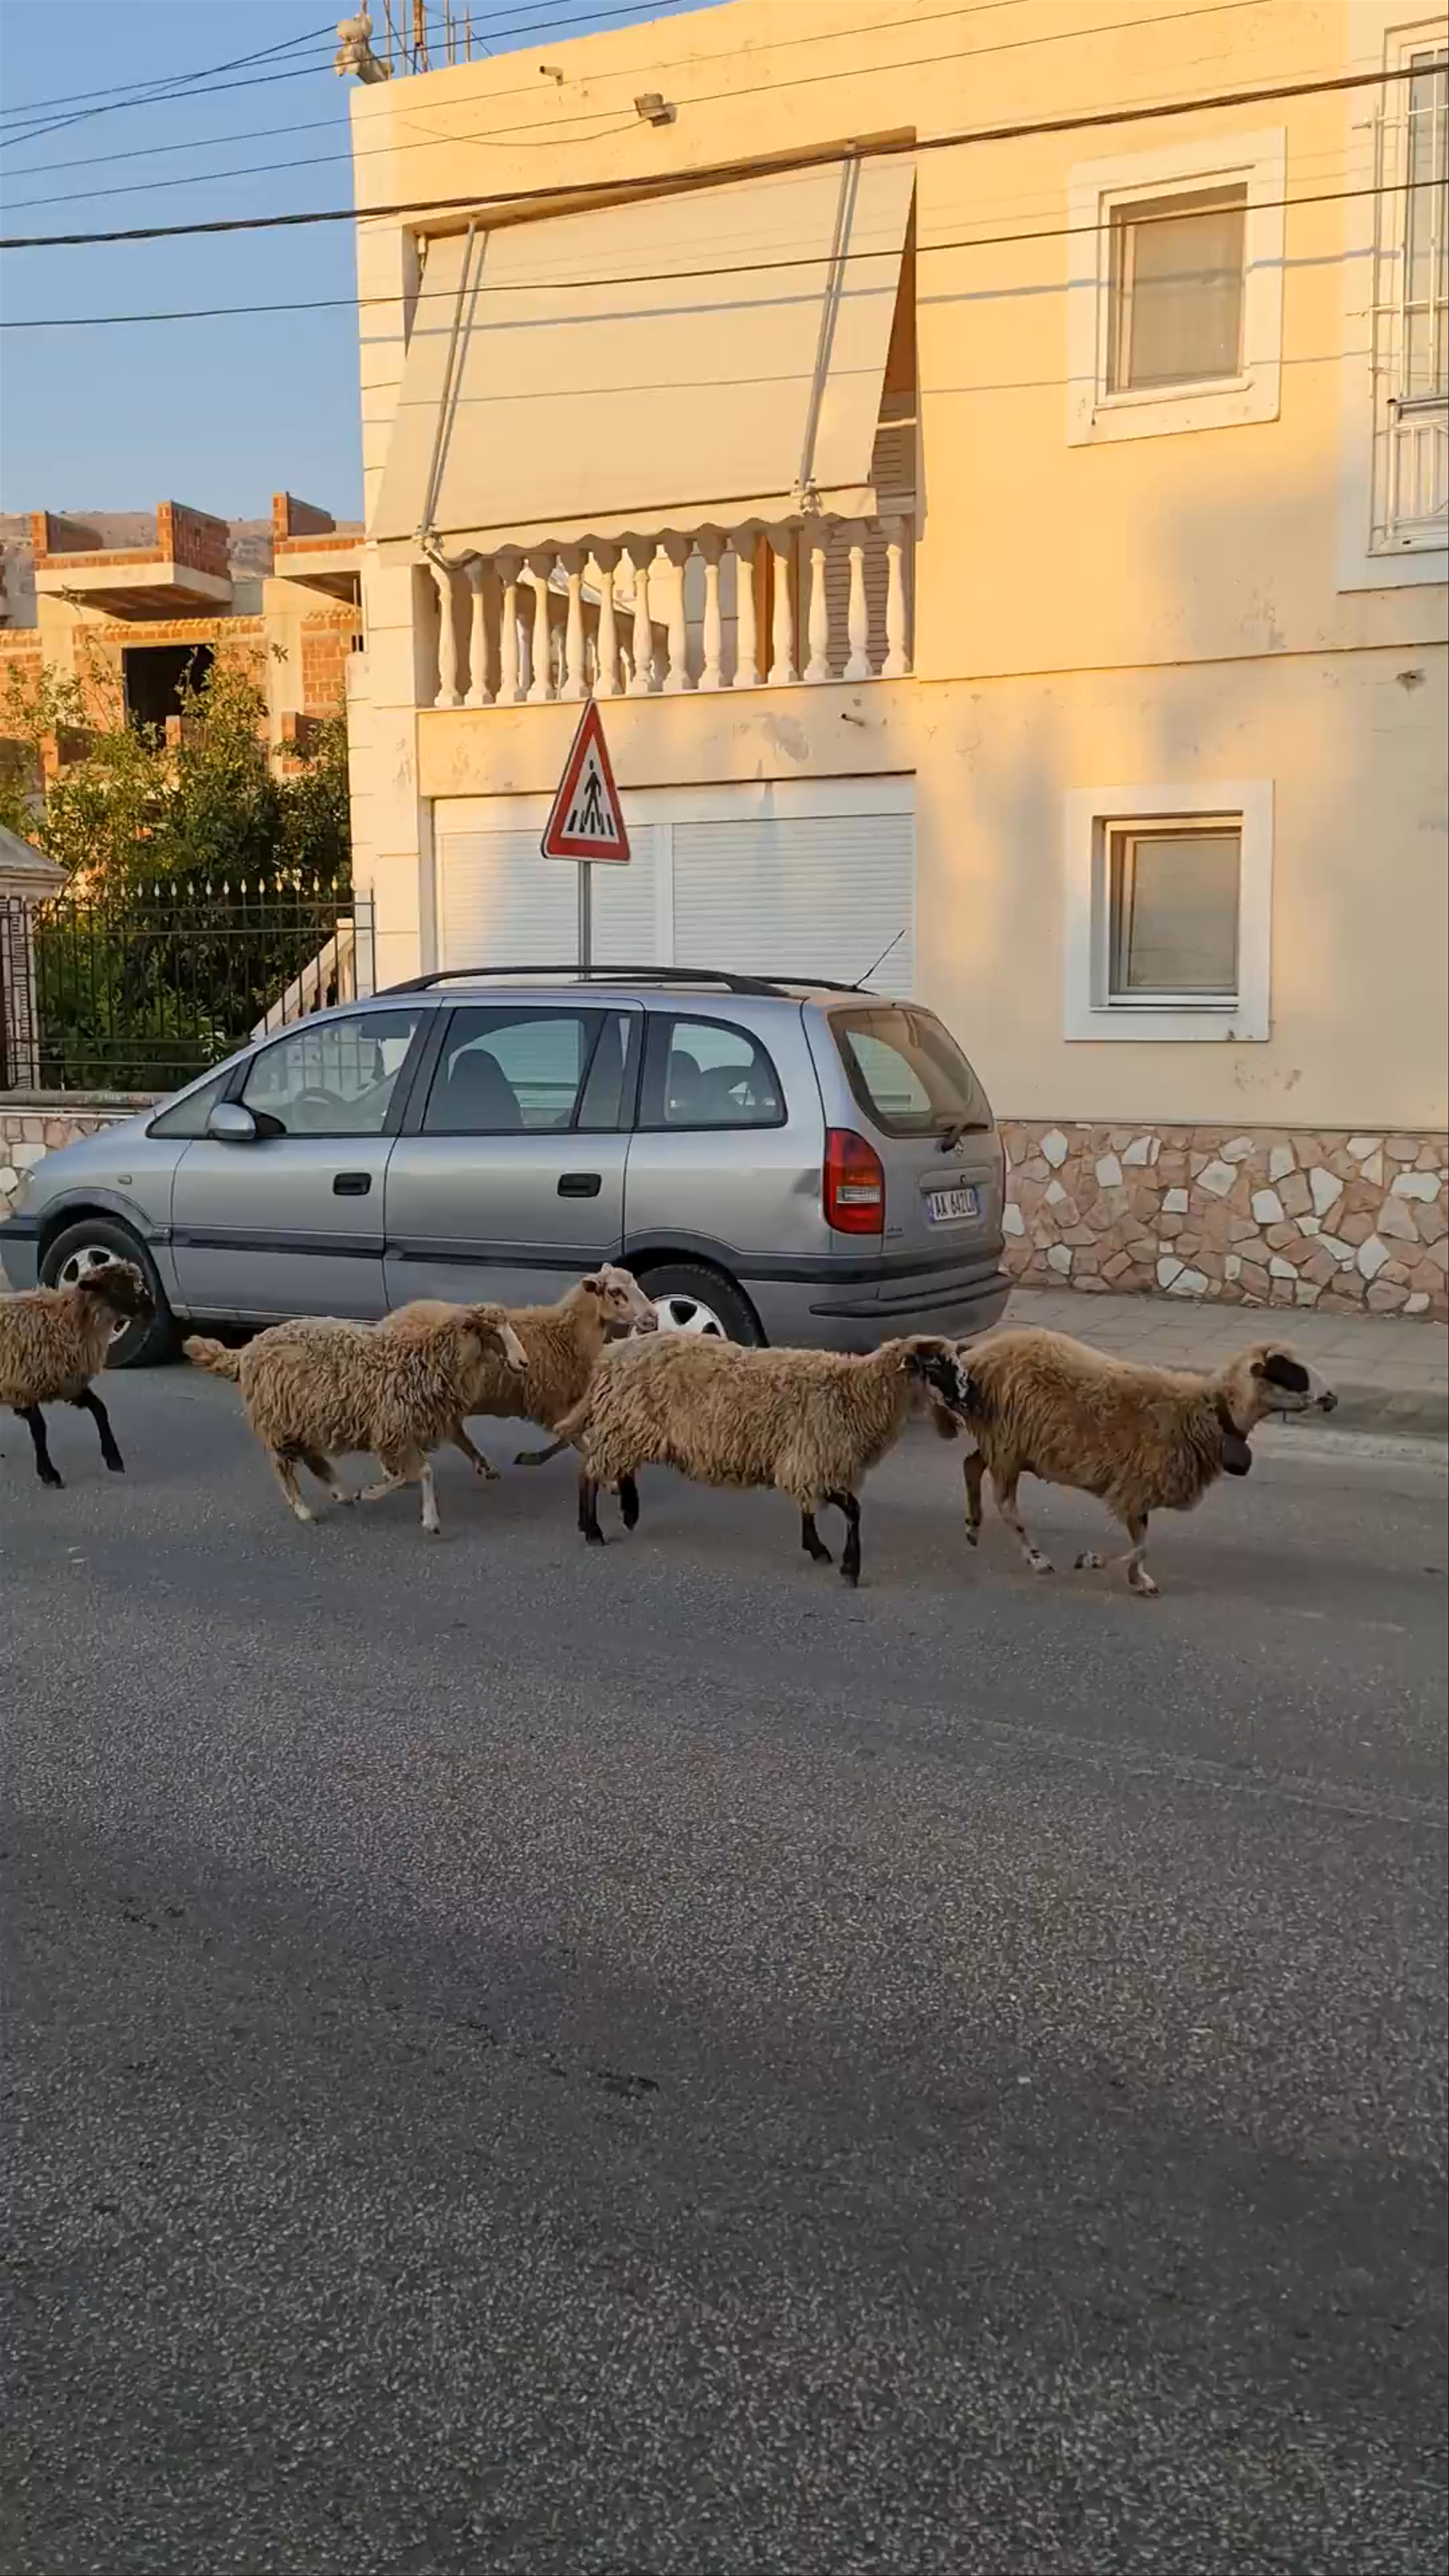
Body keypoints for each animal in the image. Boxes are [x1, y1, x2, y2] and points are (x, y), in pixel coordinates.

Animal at [2, 1259, 154, 1488]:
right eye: (116, 1289)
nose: (152, 1310)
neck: (64, 1322)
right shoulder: (21, 1388)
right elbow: (40, 1430)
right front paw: (49, 1474)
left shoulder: (70, 1385)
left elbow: (100, 1409)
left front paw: (114, 1459)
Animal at [183, 1303, 527, 1535]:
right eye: (491, 1332)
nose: (524, 1362)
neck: (421, 1359)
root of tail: (246, 1349)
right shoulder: (392, 1430)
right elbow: (415, 1473)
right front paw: (417, 1514)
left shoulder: (401, 1431)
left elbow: (419, 1472)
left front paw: (421, 1514)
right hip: (277, 1420)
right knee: (282, 1466)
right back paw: (305, 1509)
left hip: (303, 1419)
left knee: (310, 1457)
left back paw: (341, 1492)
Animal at [379, 1264, 658, 1481]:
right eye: (615, 1292)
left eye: (635, 1283)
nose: (653, 1318)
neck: (565, 1333)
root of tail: (390, 1320)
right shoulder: (551, 1402)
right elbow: (573, 1437)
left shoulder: (558, 1403)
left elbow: (568, 1436)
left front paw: (531, 1458)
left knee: (455, 1431)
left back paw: (483, 1466)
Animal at [556, 1331, 969, 1586]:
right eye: (934, 1366)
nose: (965, 1399)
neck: (857, 1392)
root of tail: (611, 1354)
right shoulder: (815, 1459)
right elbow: (853, 1510)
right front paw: (849, 1568)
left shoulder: (808, 1460)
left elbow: (809, 1507)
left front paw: (817, 1548)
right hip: (625, 1423)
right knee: (590, 1470)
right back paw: (592, 1529)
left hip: (630, 1424)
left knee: (617, 1467)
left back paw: (628, 1511)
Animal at [929, 1328, 1337, 1596]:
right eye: (1289, 1371)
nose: (1331, 1397)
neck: (1206, 1412)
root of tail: (975, 1358)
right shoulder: (1134, 1484)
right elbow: (1141, 1544)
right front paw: (1092, 1561)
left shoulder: (1137, 1489)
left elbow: (1141, 1540)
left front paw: (1137, 1580)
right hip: (1007, 1444)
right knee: (1006, 1504)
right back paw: (1036, 1558)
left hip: (1004, 1444)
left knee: (971, 1465)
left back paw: (973, 1526)